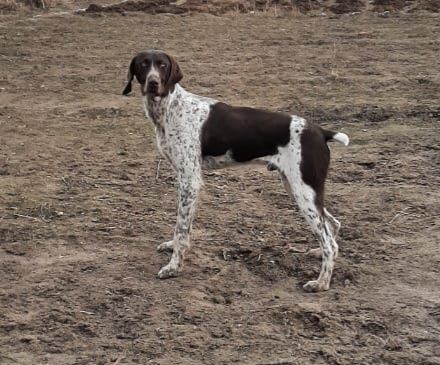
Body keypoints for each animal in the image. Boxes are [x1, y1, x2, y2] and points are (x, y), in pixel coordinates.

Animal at [122, 49, 348, 292]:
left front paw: (173, 267)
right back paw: (317, 253)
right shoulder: (183, 180)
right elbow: (182, 224)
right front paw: (172, 248)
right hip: (298, 187)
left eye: (162, 65)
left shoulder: (191, 181)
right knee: (332, 226)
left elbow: (181, 229)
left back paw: (321, 283)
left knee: (329, 242)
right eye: (143, 65)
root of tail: (321, 132)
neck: (171, 107)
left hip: (304, 191)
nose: (153, 83)